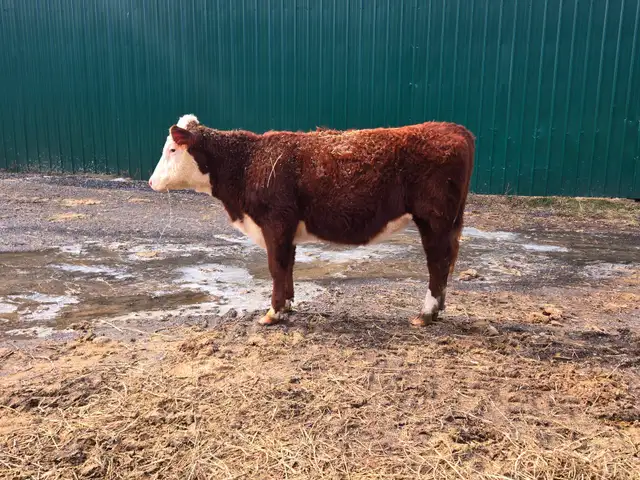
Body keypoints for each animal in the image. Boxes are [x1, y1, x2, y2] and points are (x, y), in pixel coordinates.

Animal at [149, 114, 475, 327]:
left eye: (172, 149)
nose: (151, 182)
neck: (247, 163)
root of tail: (453, 128)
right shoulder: (287, 229)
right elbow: (288, 266)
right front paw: (287, 307)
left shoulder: (275, 223)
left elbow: (276, 266)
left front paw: (273, 313)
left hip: (434, 220)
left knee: (437, 263)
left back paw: (426, 314)